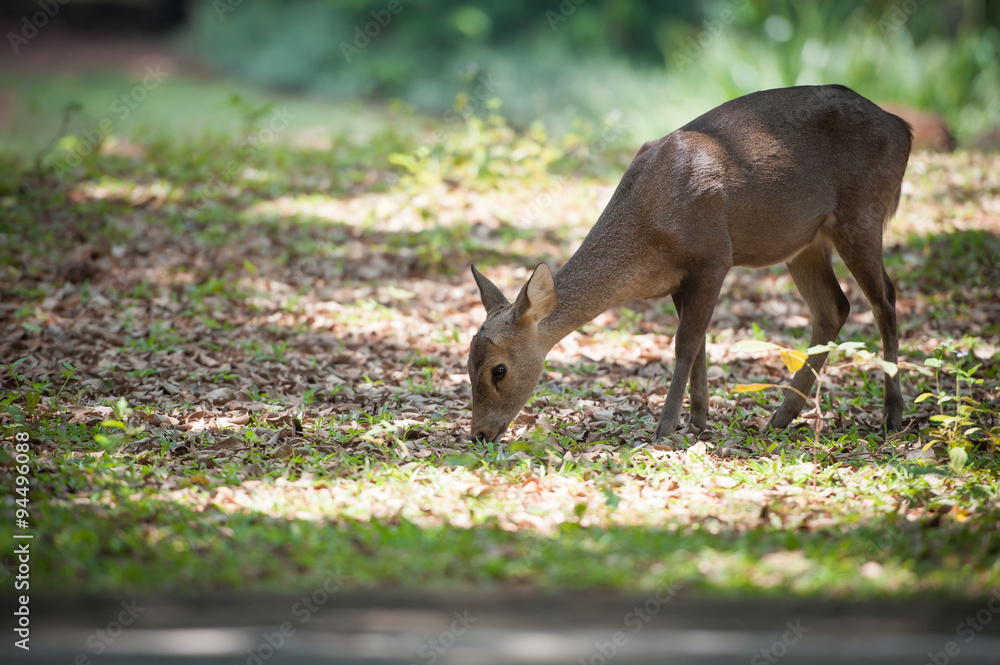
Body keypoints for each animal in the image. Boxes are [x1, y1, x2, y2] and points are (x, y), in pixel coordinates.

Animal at [468, 85, 911, 445]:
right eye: (468, 364)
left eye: (498, 370)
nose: (479, 434)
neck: (649, 231)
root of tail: (903, 128)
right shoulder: (679, 279)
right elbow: (698, 344)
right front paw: (698, 419)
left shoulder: (714, 257)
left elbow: (685, 342)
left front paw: (665, 427)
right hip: (806, 241)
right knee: (833, 307)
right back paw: (781, 418)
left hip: (863, 213)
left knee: (885, 299)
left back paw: (892, 414)